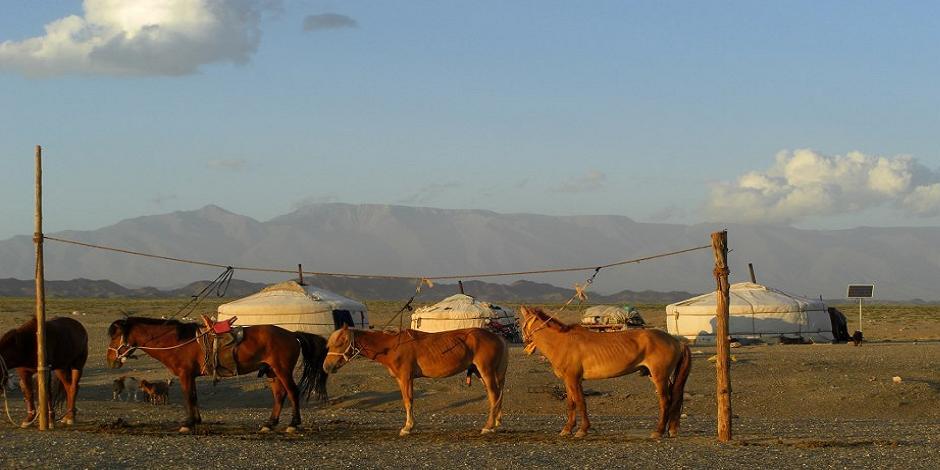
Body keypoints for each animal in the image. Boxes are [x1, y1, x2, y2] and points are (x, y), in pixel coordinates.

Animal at [107, 316, 330, 434]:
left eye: (116, 336)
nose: (110, 360)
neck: (178, 342)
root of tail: (292, 335)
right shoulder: (191, 376)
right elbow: (194, 397)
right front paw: (196, 421)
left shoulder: (185, 374)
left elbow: (188, 397)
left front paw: (187, 424)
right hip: (271, 371)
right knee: (279, 395)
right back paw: (269, 424)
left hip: (282, 369)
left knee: (292, 392)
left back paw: (293, 423)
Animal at [322, 324, 506, 436]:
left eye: (341, 342)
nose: (326, 367)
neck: (391, 346)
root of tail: (498, 338)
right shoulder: (400, 379)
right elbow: (407, 400)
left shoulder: (406, 377)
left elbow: (408, 400)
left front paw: (408, 427)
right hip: (482, 373)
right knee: (496, 396)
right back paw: (496, 422)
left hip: (486, 371)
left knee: (494, 395)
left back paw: (488, 426)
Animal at [516, 306, 692, 438]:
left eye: (521, 322)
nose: (523, 340)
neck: (562, 342)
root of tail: (676, 341)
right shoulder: (569, 380)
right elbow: (571, 403)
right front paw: (567, 429)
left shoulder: (573, 379)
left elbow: (580, 402)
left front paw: (582, 430)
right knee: (674, 399)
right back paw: (672, 429)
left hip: (659, 376)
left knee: (665, 401)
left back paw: (658, 431)